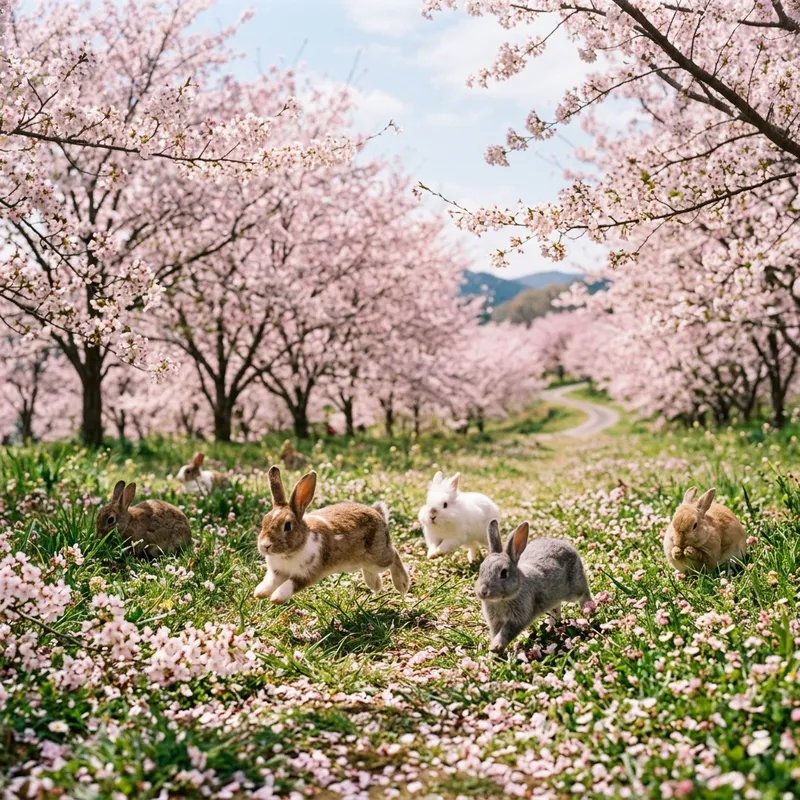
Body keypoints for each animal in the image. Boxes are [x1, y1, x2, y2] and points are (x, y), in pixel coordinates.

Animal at [253, 466, 410, 604]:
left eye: (287, 526)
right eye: (264, 521)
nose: (265, 545)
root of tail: (378, 513)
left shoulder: (307, 573)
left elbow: (290, 585)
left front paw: (276, 598)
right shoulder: (277, 572)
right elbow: (270, 582)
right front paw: (260, 593)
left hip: (378, 557)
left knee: (394, 554)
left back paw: (402, 585)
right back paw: (375, 585)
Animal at [475, 520, 592, 654]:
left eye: (503, 573)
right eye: (481, 569)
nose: (483, 592)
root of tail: (568, 546)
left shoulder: (518, 618)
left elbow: (506, 633)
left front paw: (495, 647)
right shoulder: (495, 621)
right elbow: (496, 633)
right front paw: (494, 653)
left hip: (574, 589)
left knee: (584, 592)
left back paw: (588, 608)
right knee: (556, 607)